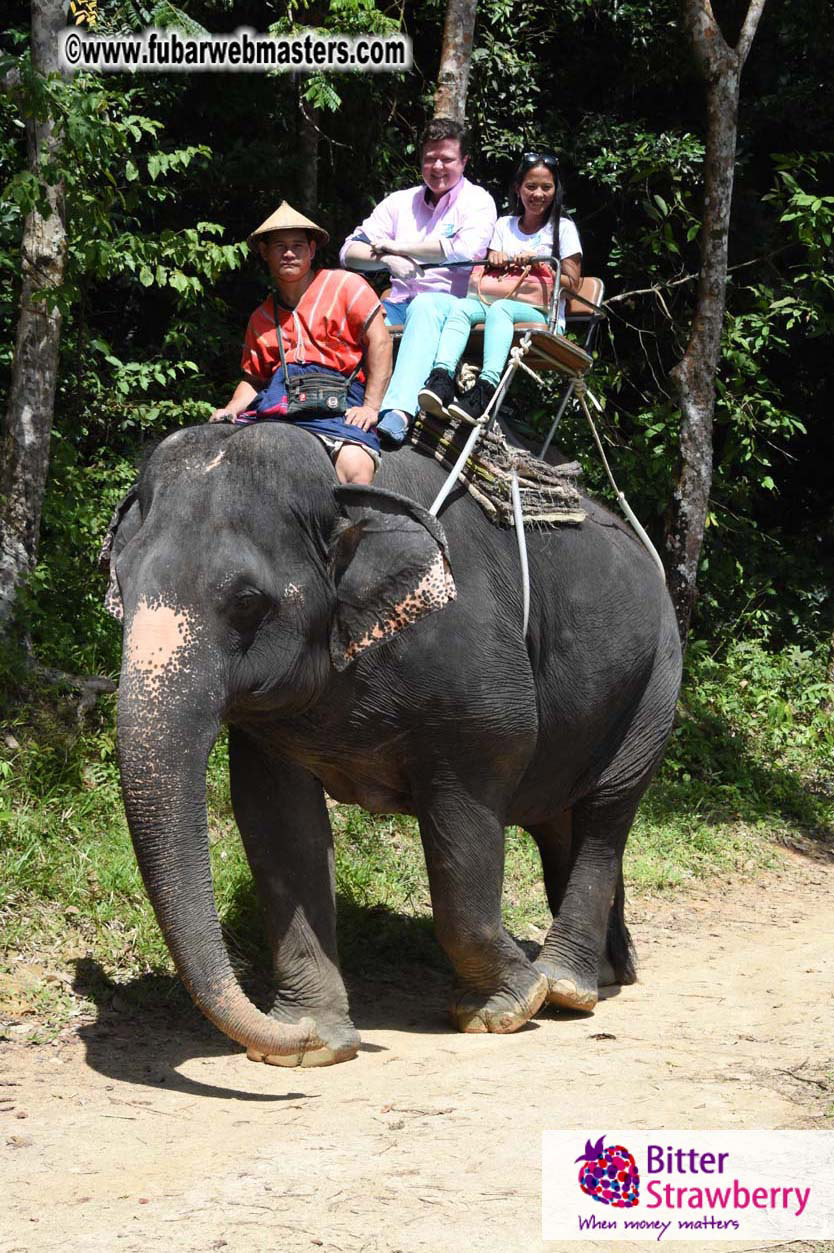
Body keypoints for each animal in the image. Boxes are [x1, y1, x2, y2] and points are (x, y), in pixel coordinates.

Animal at [107, 419, 681, 1067]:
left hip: (655, 682)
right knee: (562, 822)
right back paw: (609, 973)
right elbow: (278, 820)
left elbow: (467, 817)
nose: (278, 1041)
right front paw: (311, 1043)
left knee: (607, 813)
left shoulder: (478, 680)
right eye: (121, 585)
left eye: (248, 601)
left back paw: (565, 986)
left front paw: (506, 1008)